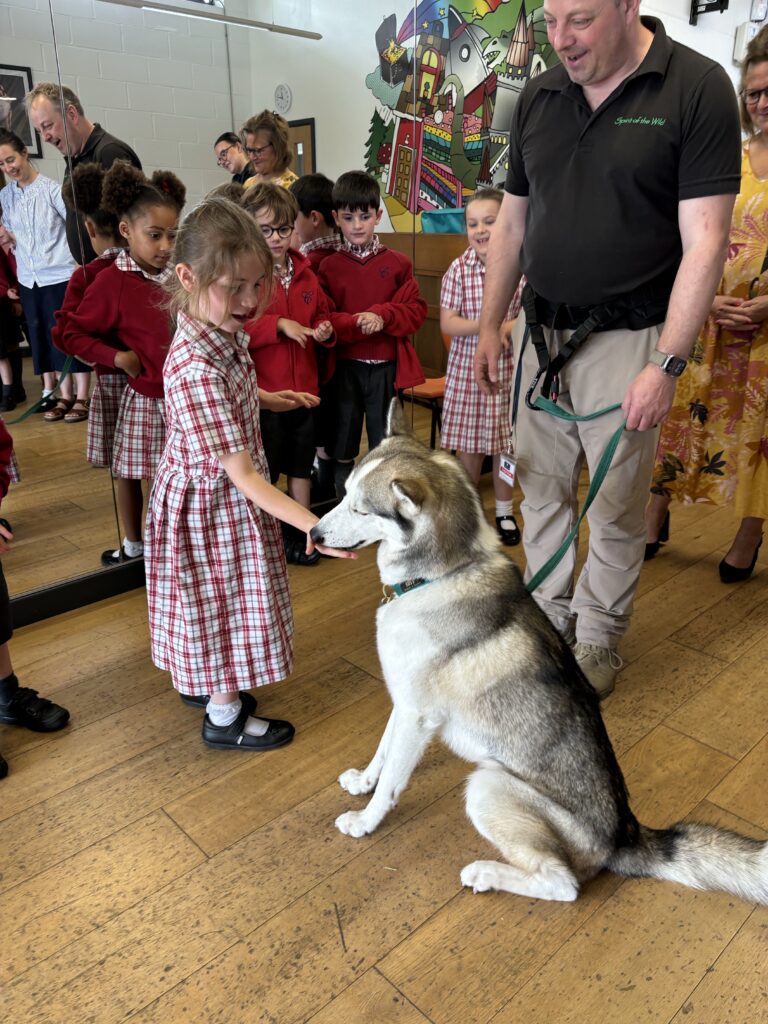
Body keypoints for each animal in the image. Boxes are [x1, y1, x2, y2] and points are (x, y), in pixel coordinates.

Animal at [309, 401, 765, 905]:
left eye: (360, 507)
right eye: (343, 493)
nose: (313, 533)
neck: (443, 574)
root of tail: (624, 836)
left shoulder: (418, 715)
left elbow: (393, 778)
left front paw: (366, 820)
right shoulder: (405, 701)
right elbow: (383, 752)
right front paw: (363, 783)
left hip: (488, 784)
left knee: (563, 884)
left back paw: (487, 873)